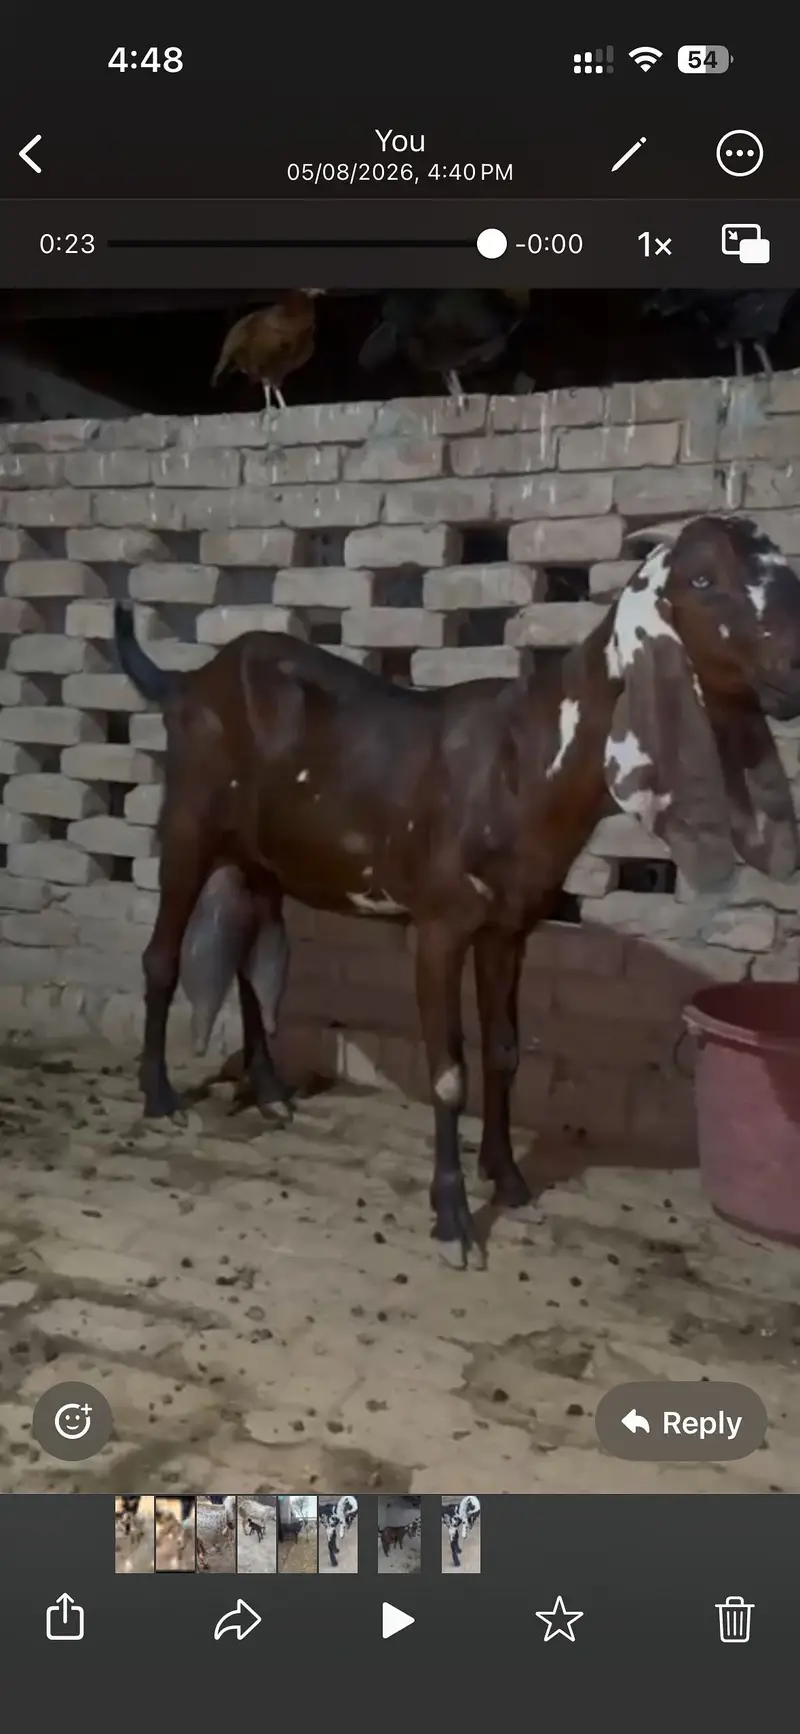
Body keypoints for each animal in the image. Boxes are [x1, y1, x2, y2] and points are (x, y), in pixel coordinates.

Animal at [113, 514, 800, 1266]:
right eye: (703, 578)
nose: (795, 668)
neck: (524, 759)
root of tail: (185, 682)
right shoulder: (439, 926)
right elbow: (449, 1071)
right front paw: (453, 1219)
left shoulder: (509, 927)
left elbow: (503, 1051)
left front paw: (509, 1180)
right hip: (188, 822)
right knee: (160, 958)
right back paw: (159, 1098)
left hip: (264, 858)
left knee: (248, 961)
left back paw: (268, 1092)